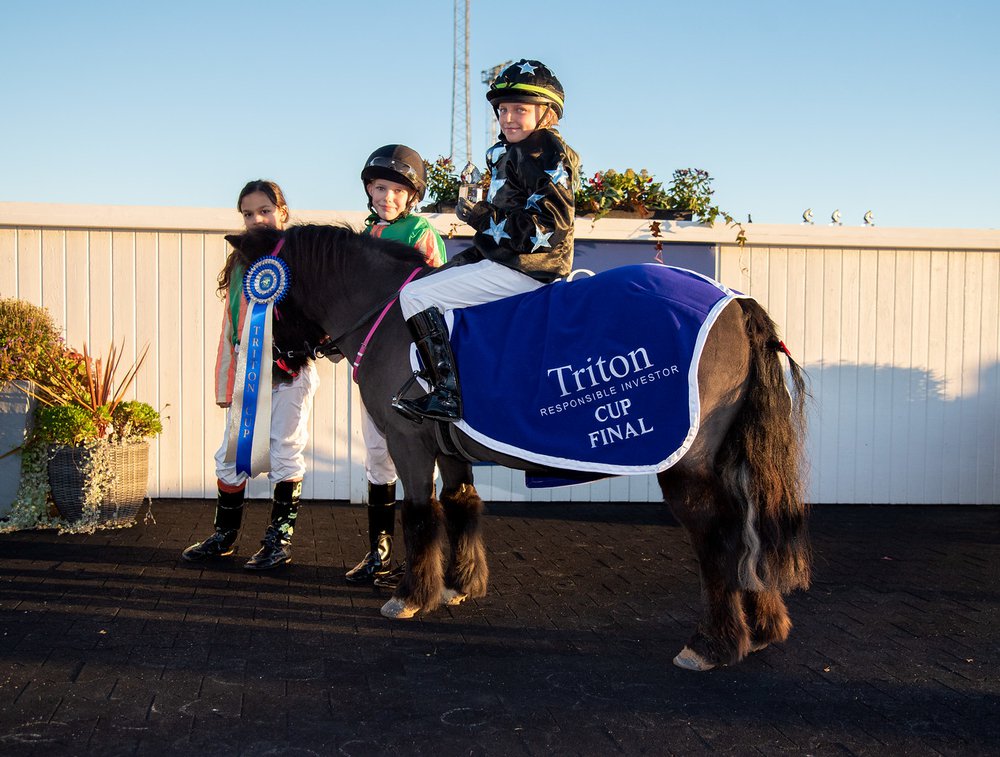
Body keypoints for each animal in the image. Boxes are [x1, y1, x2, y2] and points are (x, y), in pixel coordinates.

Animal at [229, 223, 812, 668]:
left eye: (264, 295)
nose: (278, 364)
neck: (391, 314)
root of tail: (735, 303)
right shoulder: (449, 448)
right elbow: (460, 504)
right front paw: (459, 584)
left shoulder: (408, 441)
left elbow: (418, 514)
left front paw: (410, 596)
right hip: (728, 457)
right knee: (750, 526)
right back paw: (763, 627)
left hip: (688, 462)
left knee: (718, 534)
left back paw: (712, 644)